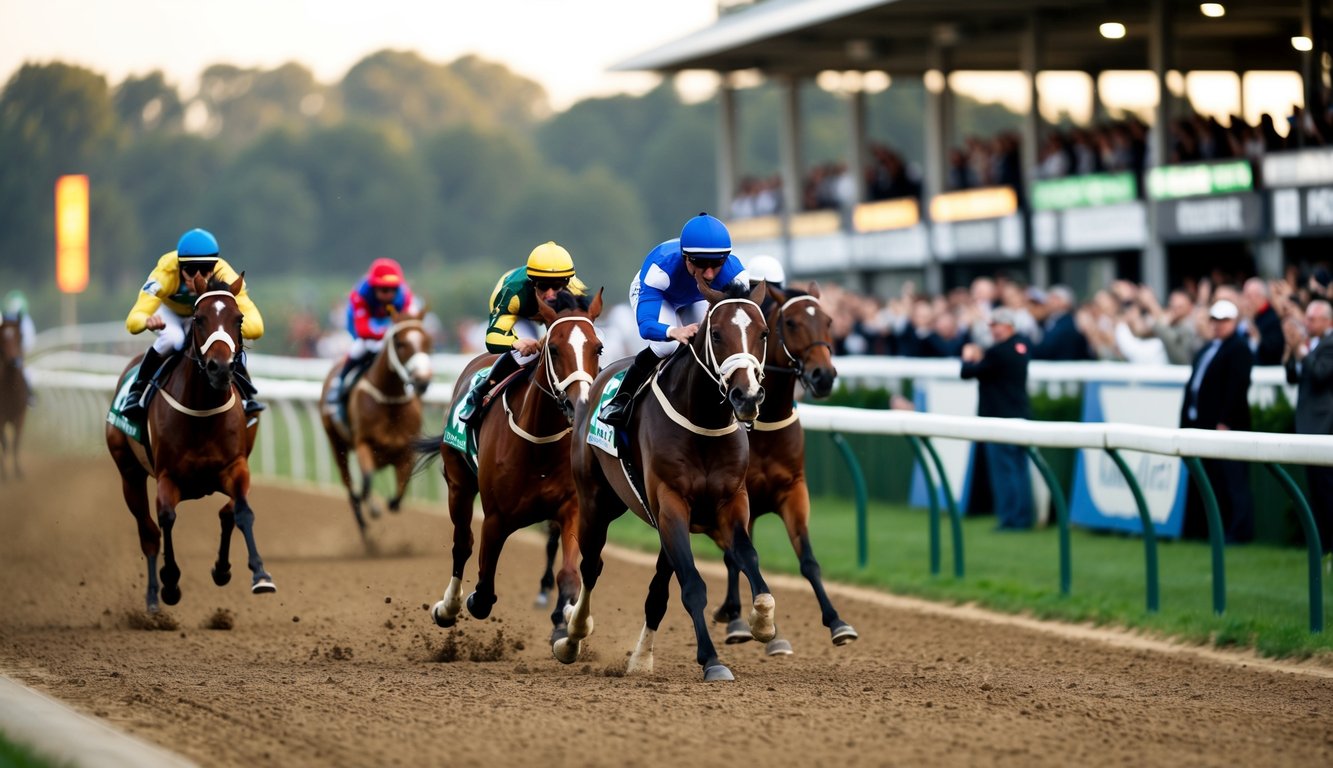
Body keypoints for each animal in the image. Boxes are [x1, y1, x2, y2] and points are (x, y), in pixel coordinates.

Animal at [106, 274, 273, 613]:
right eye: (199, 318)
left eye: (239, 319)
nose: (220, 368)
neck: (203, 411)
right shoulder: (168, 476)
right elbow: (167, 519)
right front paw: (170, 584)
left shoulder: (236, 467)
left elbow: (240, 512)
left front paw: (255, 574)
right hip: (128, 472)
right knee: (148, 532)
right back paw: (153, 599)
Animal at [318, 308, 431, 538]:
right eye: (400, 342)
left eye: (428, 341)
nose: (423, 380)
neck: (390, 401)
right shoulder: (364, 443)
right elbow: (367, 480)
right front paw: (373, 507)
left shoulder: (406, 450)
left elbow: (399, 494)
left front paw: (389, 503)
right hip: (336, 443)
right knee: (349, 485)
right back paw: (362, 523)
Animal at [418, 288, 607, 634]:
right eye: (554, 348)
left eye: (597, 348)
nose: (581, 404)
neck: (540, 443)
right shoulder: (496, 517)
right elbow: (482, 592)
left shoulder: (571, 507)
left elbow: (569, 574)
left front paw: (566, 622)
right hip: (458, 483)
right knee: (462, 542)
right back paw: (447, 607)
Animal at [559, 278, 773, 680]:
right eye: (716, 334)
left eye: (764, 333)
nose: (747, 396)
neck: (704, 422)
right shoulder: (671, 502)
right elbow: (692, 586)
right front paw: (712, 660)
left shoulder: (731, 500)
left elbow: (748, 555)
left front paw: (763, 619)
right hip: (596, 503)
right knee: (591, 566)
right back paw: (572, 637)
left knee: (656, 590)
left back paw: (641, 658)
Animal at [714, 282, 858, 653]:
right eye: (790, 323)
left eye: (828, 320)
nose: (824, 376)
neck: (765, 427)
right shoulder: (742, 499)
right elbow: (742, 557)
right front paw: (744, 620)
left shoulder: (793, 491)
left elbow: (808, 560)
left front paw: (837, 621)